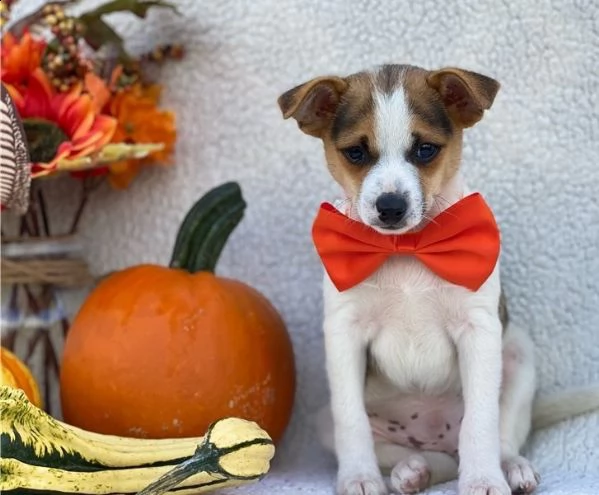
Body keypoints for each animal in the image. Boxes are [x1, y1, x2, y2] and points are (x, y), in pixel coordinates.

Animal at [278, 64, 599, 494]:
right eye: (356, 152)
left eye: (425, 150)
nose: (390, 207)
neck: (407, 250)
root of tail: (433, 434)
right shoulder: (344, 335)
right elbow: (352, 422)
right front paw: (358, 477)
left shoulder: (479, 331)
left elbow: (481, 423)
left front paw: (483, 480)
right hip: (324, 419)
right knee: (416, 456)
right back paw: (411, 471)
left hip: (518, 354)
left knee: (497, 438)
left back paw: (510, 468)